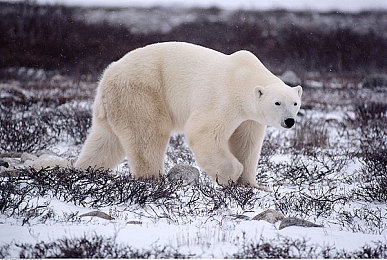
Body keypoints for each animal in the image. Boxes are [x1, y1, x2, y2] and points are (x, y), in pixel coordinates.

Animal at [76, 42, 304, 189]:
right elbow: (202, 131)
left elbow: (246, 143)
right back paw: (153, 179)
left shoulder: (249, 117)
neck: (243, 76)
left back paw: (84, 170)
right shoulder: (224, 98)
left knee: (105, 142)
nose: (289, 121)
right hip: (141, 92)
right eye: (277, 102)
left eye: (295, 103)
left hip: (114, 105)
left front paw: (251, 184)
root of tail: (106, 77)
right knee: (149, 134)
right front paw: (231, 175)